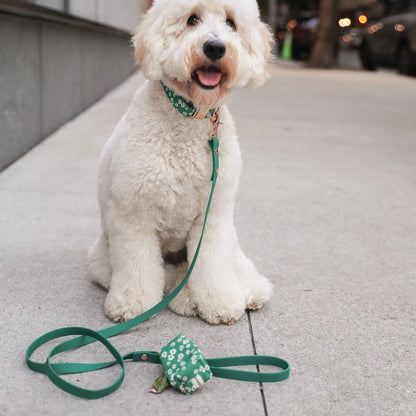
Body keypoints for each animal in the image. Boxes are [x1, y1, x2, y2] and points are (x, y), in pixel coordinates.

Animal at [88, 0, 272, 324]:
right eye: (191, 19)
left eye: (231, 23)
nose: (215, 47)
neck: (190, 116)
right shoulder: (133, 214)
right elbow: (137, 266)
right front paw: (133, 304)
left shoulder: (214, 214)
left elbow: (213, 263)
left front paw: (221, 302)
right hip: (103, 258)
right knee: (168, 276)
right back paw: (185, 299)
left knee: (233, 263)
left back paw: (249, 290)